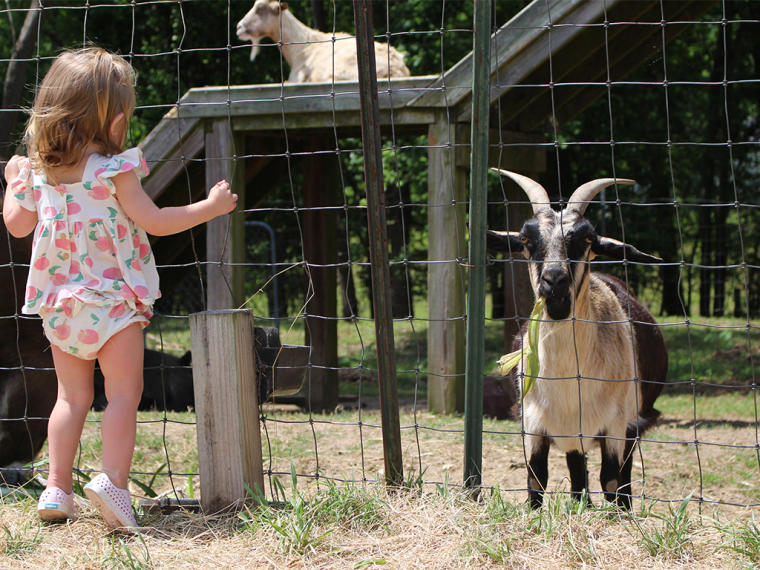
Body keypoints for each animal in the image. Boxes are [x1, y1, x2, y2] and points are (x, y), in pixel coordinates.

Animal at [486, 168, 664, 506]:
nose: (554, 282)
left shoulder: (616, 425)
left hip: (631, 424)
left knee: (622, 479)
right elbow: (536, 481)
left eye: (586, 239)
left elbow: (611, 481)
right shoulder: (533, 426)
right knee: (577, 472)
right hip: (574, 436)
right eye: (526, 239)